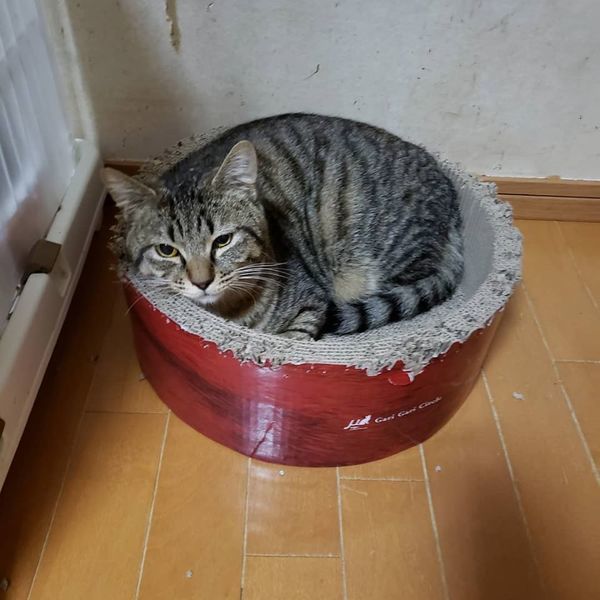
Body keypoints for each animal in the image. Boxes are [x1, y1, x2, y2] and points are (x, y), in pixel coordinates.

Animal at [103, 113, 464, 340]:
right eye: (167, 250)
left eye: (223, 240)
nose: (202, 282)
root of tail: (451, 193)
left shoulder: (311, 304)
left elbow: (295, 338)